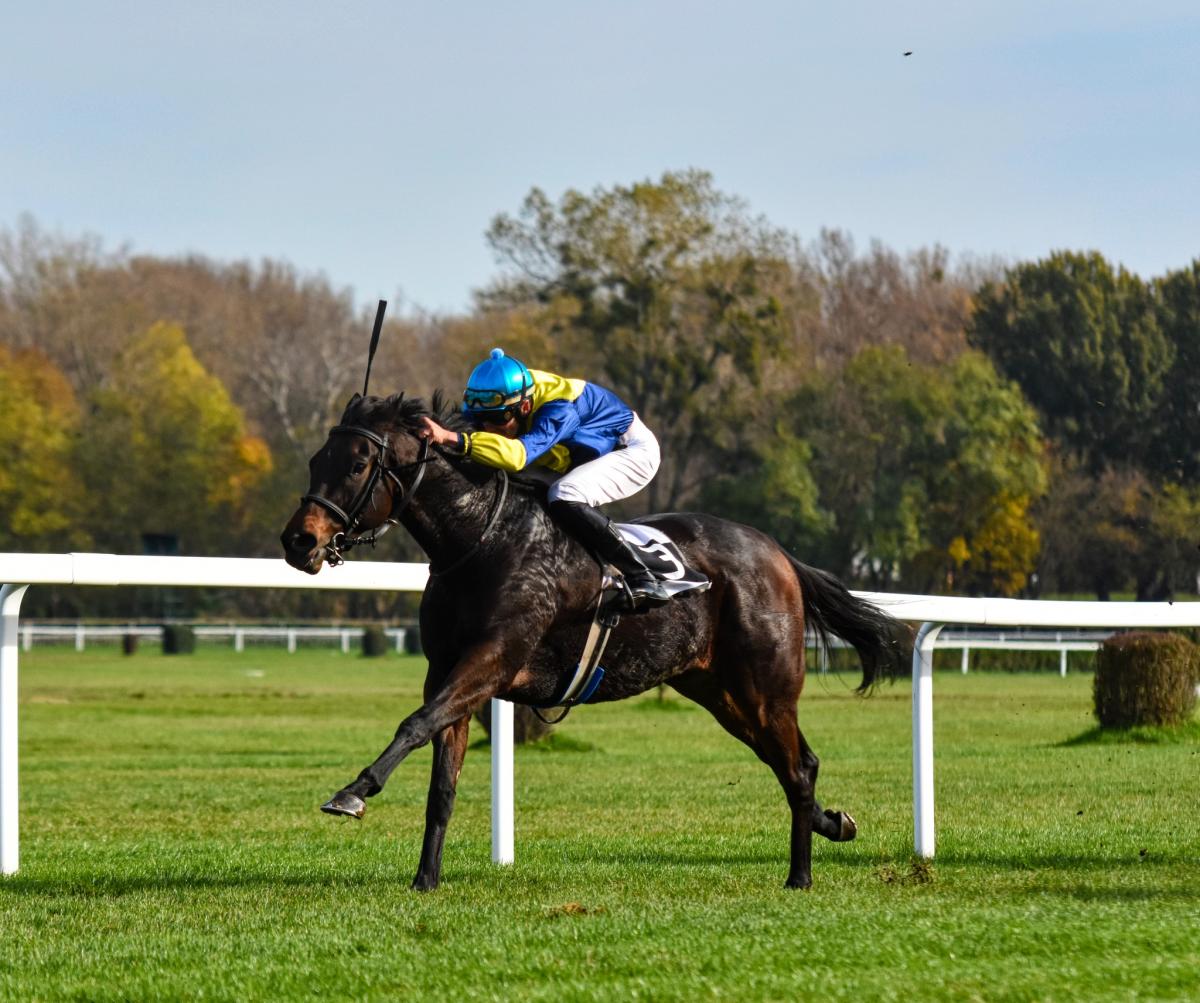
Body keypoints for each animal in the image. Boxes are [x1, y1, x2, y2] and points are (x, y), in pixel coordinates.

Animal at [280, 390, 911, 891]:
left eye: (358, 463)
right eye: (315, 460)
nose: (298, 541)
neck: (481, 539)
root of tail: (777, 553)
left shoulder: (493, 659)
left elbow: (413, 724)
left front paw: (353, 792)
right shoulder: (448, 670)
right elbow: (442, 784)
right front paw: (425, 880)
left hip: (765, 686)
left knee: (797, 769)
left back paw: (799, 876)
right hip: (720, 693)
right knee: (793, 762)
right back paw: (834, 824)